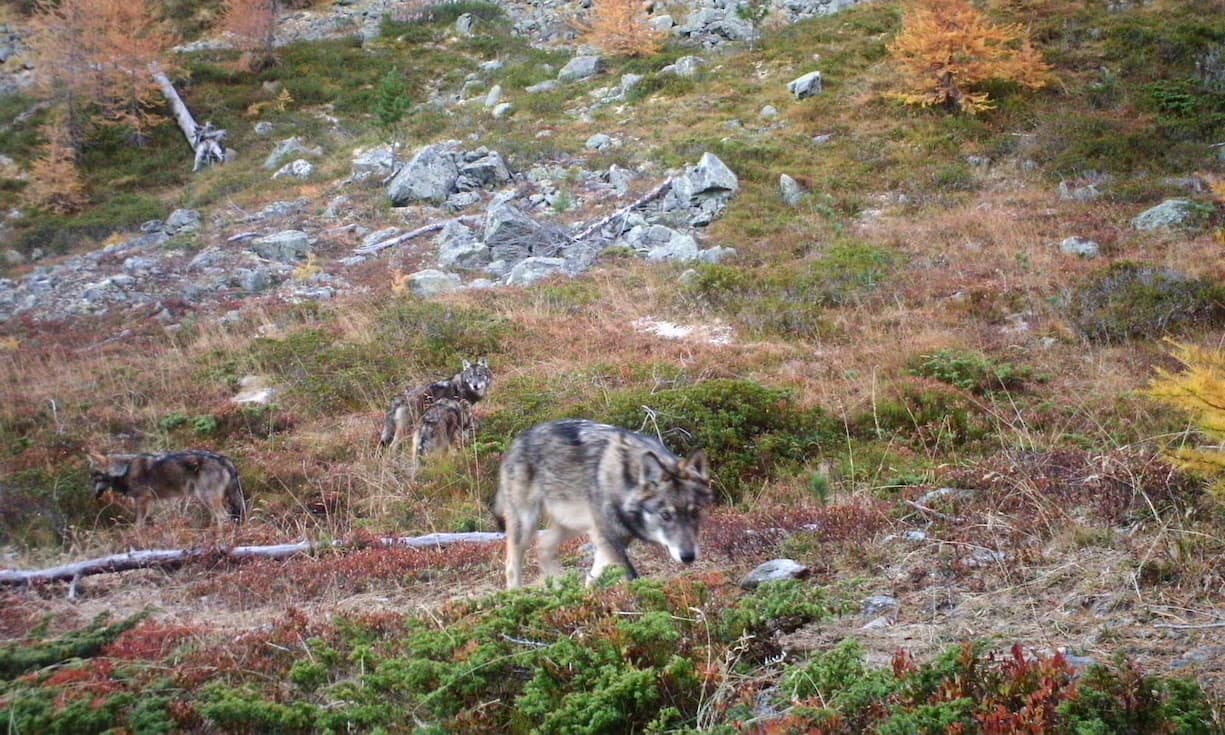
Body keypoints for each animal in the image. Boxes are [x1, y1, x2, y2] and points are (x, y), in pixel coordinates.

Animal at [88, 449, 247, 527]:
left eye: (96, 477)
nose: (94, 495)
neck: (125, 469)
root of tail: (225, 459)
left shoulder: (142, 500)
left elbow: (137, 526)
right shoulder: (148, 502)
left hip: (207, 498)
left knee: (224, 518)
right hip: (208, 500)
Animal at [493, 419, 713, 589]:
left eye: (695, 513)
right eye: (665, 515)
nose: (688, 556)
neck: (625, 482)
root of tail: (517, 441)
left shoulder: (613, 538)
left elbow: (592, 577)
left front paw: (588, 597)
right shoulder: (608, 536)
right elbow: (631, 576)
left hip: (572, 525)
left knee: (543, 547)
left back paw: (560, 587)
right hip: (527, 524)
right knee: (512, 564)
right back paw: (517, 596)